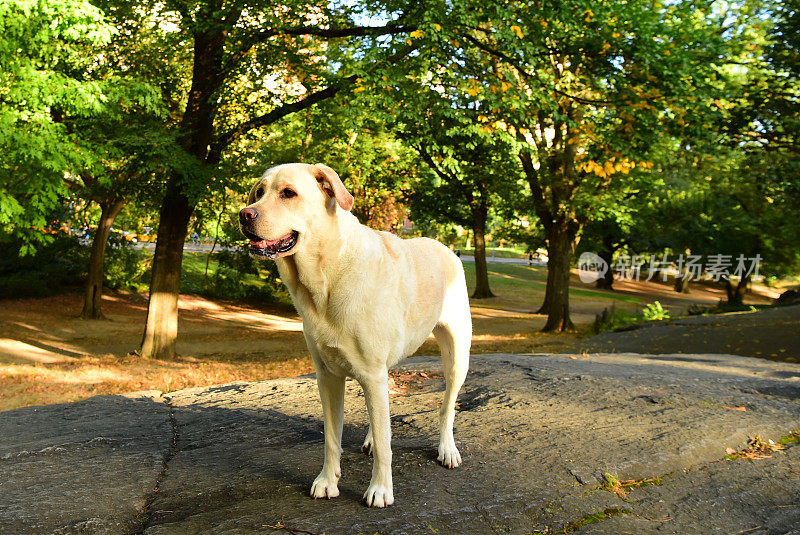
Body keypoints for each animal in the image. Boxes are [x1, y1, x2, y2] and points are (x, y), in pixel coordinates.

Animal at [241, 162, 472, 506]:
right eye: (258, 192)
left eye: (288, 193)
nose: (244, 214)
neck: (327, 275)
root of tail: (445, 247)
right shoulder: (328, 376)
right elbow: (332, 437)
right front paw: (328, 480)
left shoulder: (371, 373)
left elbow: (387, 445)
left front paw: (380, 489)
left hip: (456, 357)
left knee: (446, 407)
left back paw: (447, 449)